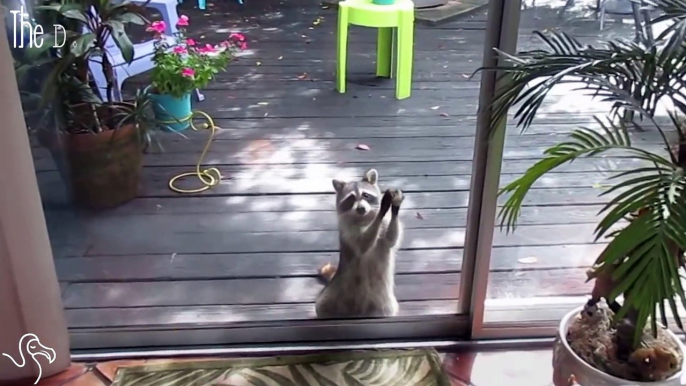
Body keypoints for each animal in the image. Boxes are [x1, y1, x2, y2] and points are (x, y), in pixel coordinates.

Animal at [316, 167, 406, 318]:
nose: (361, 208)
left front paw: (395, 207)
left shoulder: (385, 229)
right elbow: (362, 244)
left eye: (366, 195)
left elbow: (390, 239)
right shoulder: (347, 230)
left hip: (384, 303)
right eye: (351, 198)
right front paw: (382, 210)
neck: (363, 218)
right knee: (322, 304)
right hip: (336, 291)